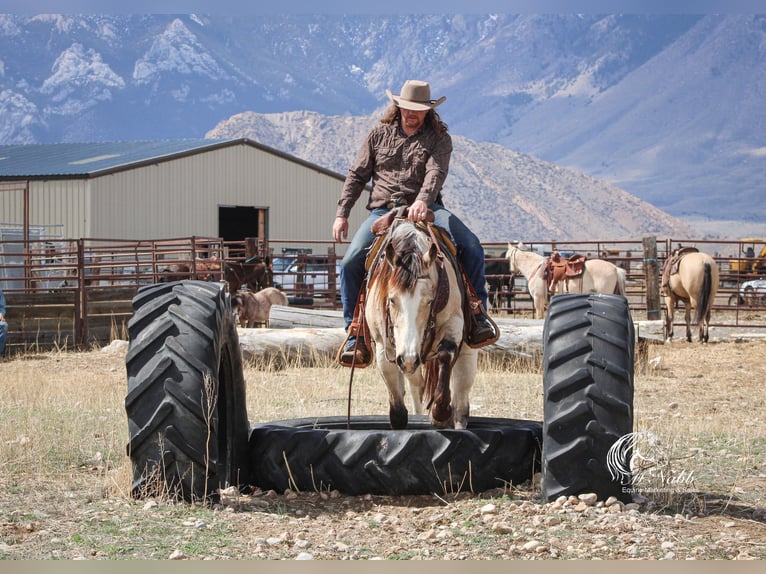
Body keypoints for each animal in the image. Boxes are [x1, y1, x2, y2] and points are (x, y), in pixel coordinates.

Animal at [364, 216, 476, 432]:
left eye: (429, 301)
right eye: (392, 300)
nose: (408, 358)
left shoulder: (454, 324)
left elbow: (445, 354)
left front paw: (440, 414)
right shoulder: (384, 346)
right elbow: (398, 410)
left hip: (464, 349)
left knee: (462, 391)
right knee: (417, 385)